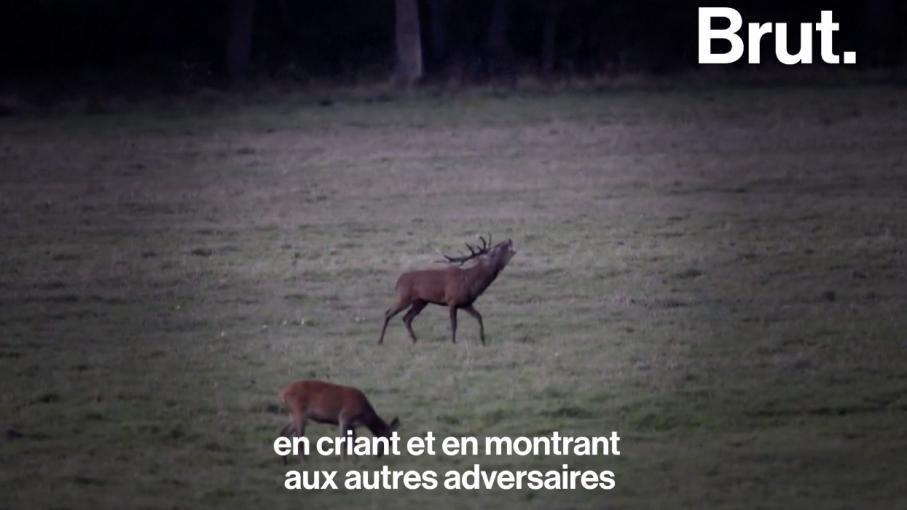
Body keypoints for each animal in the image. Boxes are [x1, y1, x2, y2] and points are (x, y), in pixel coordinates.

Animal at [378, 237, 516, 344]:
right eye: (497, 249)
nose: (509, 240)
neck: (470, 282)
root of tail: (398, 282)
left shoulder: (466, 303)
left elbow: (479, 317)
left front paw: (483, 340)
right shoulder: (452, 300)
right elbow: (454, 324)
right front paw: (453, 341)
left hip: (420, 301)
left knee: (406, 318)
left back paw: (414, 340)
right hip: (403, 297)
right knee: (388, 313)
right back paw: (380, 341)